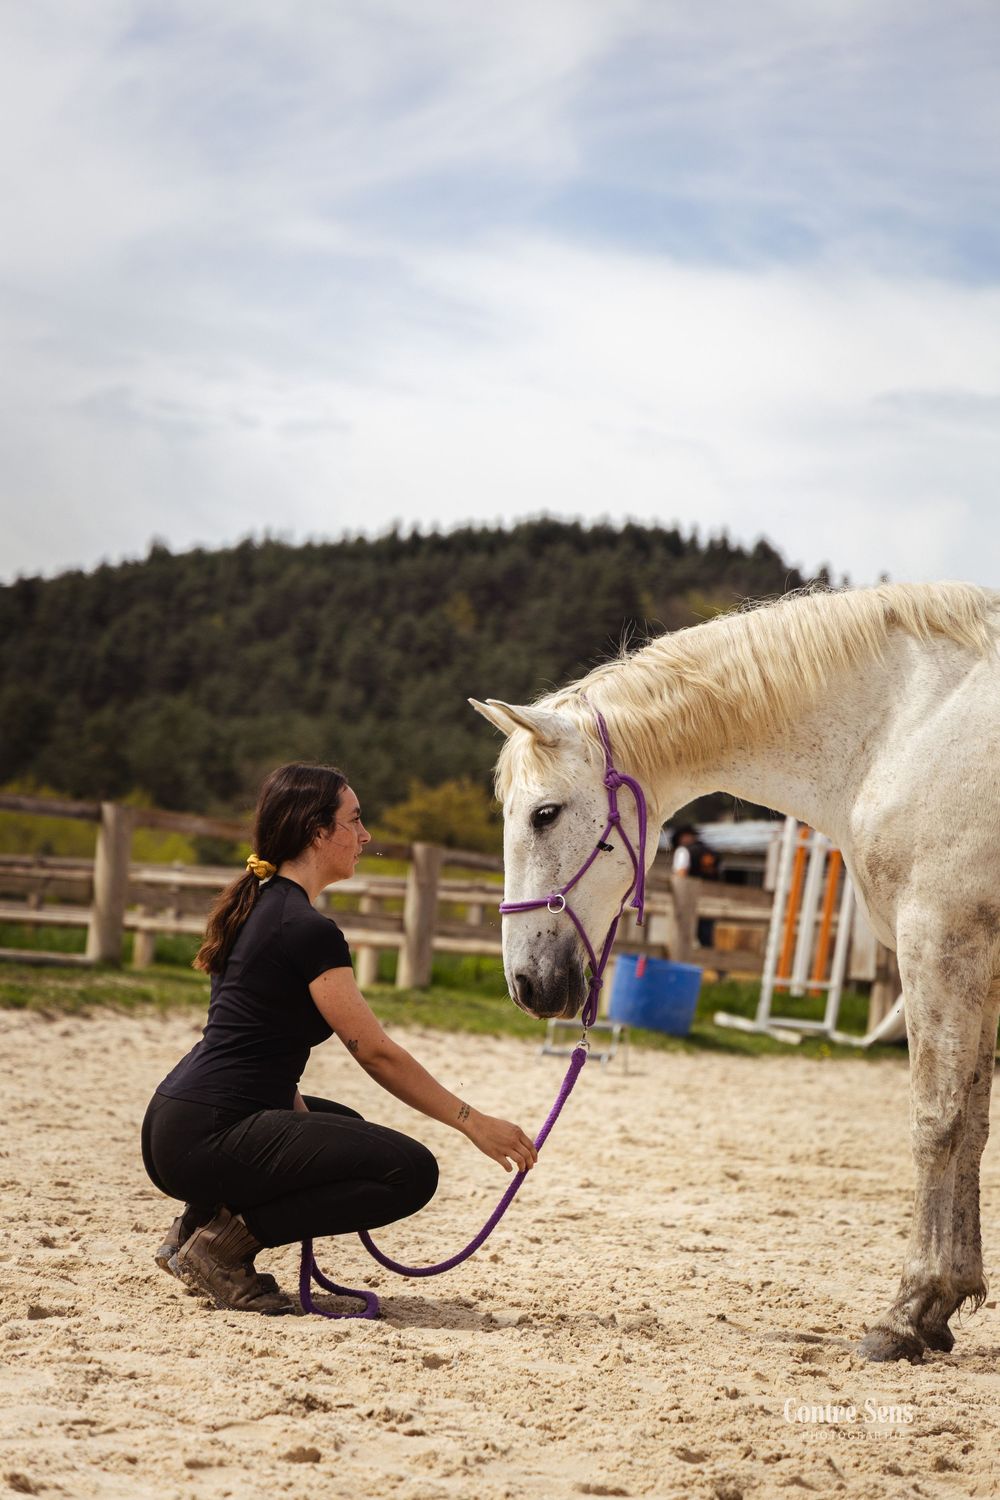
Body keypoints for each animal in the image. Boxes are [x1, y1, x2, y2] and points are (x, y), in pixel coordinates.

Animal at [471, 580, 1000, 1364]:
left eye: (543, 814)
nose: (526, 985)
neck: (908, 718)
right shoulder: (979, 965)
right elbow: (974, 1127)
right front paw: (943, 1305)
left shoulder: (941, 941)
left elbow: (939, 1120)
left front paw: (908, 1311)